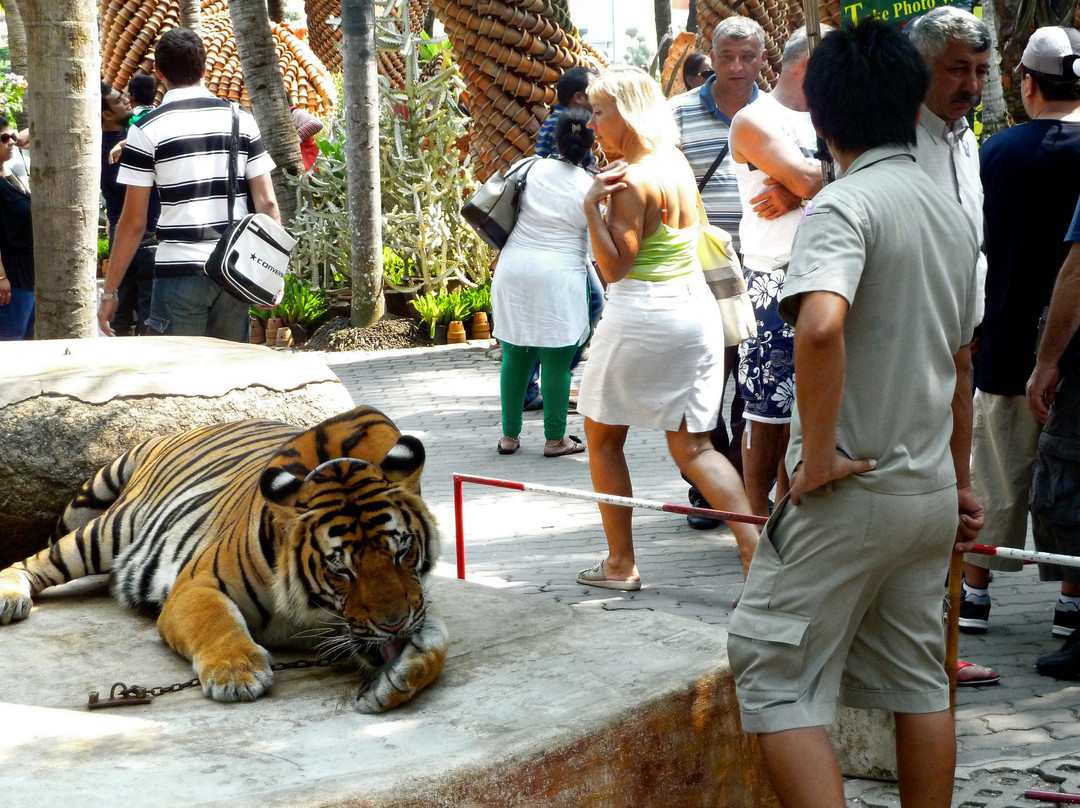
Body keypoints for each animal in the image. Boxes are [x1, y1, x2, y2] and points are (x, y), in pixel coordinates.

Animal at [0, 406, 447, 708]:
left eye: (402, 552)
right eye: (341, 569)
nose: (393, 626)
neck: (314, 613)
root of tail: (170, 435)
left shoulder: (416, 601)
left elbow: (436, 639)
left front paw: (402, 675)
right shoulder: (195, 584)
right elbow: (215, 621)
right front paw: (237, 672)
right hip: (108, 530)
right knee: (33, 562)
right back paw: (10, 598)